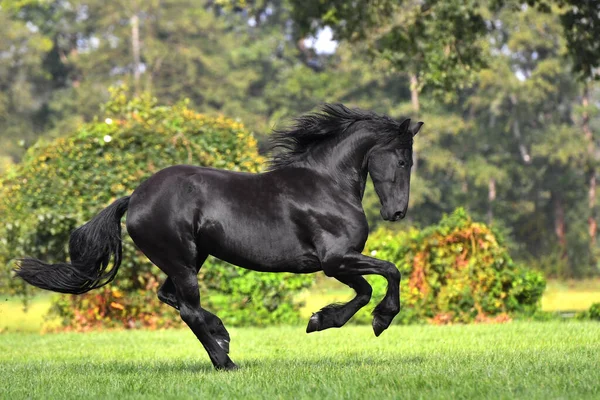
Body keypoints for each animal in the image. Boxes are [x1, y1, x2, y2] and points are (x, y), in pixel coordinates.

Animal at [16, 104, 424, 368]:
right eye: (403, 160)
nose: (397, 213)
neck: (326, 185)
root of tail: (134, 197)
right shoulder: (335, 260)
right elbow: (386, 275)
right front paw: (373, 320)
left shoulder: (339, 262)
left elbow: (368, 287)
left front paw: (322, 319)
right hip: (182, 261)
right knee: (188, 310)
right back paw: (225, 361)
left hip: (192, 258)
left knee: (171, 298)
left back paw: (223, 337)